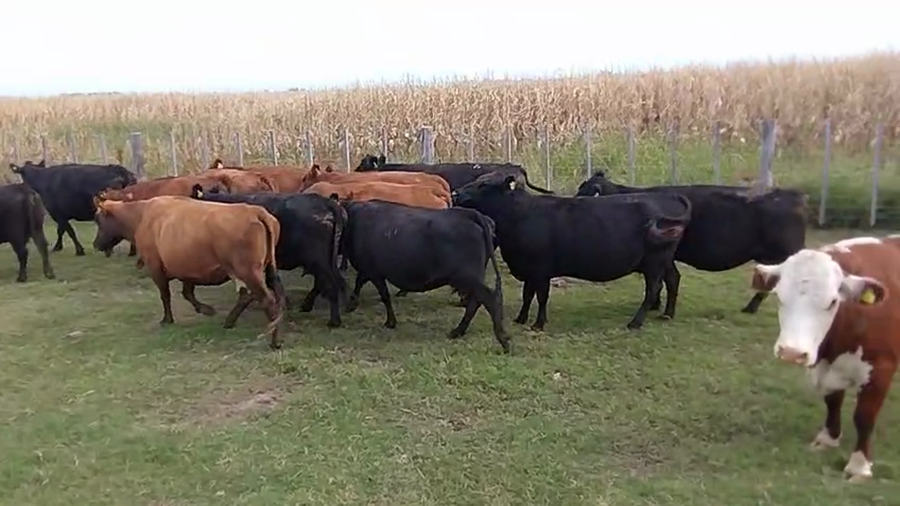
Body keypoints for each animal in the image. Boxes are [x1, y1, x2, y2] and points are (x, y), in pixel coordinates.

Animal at [91, 195, 285, 348]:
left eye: (99, 221)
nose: (96, 244)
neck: (141, 215)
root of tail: (254, 211)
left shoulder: (155, 267)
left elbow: (165, 295)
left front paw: (167, 319)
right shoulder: (188, 270)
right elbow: (187, 292)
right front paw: (205, 309)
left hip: (249, 271)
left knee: (267, 300)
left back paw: (273, 341)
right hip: (258, 270)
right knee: (252, 296)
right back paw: (230, 321)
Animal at [339, 199, 510, 353]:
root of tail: (470, 213)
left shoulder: (374, 272)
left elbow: (383, 295)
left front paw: (390, 322)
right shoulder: (369, 271)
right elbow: (361, 284)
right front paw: (352, 304)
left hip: (467, 277)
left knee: (489, 299)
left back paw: (502, 340)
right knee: (476, 302)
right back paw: (458, 332)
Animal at [452, 172, 692, 331]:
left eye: (483, 184)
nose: (456, 193)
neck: (521, 216)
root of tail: (668, 198)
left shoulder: (541, 269)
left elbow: (541, 296)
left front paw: (538, 323)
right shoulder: (530, 269)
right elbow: (527, 295)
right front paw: (521, 318)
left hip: (655, 262)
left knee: (653, 289)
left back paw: (635, 322)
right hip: (664, 261)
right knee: (672, 279)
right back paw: (667, 314)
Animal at [749, 235, 900, 482]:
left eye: (832, 302)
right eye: (779, 297)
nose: (791, 352)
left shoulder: (880, 368)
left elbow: (864, 416)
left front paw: (859, 465)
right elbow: (833, 401)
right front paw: (828, 439)